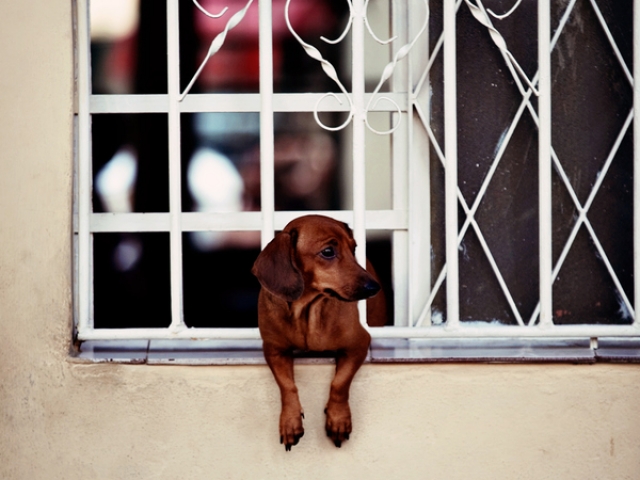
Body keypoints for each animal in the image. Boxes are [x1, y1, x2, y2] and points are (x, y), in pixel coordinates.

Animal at [252, 214, 384, 450]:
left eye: (354, 248)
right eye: (328, 251)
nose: (374, 287)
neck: (308, 312)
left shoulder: (359, 344)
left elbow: (340, 382)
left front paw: (338, 419)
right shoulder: (274, 350)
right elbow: (287, 385)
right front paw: (290, 421)